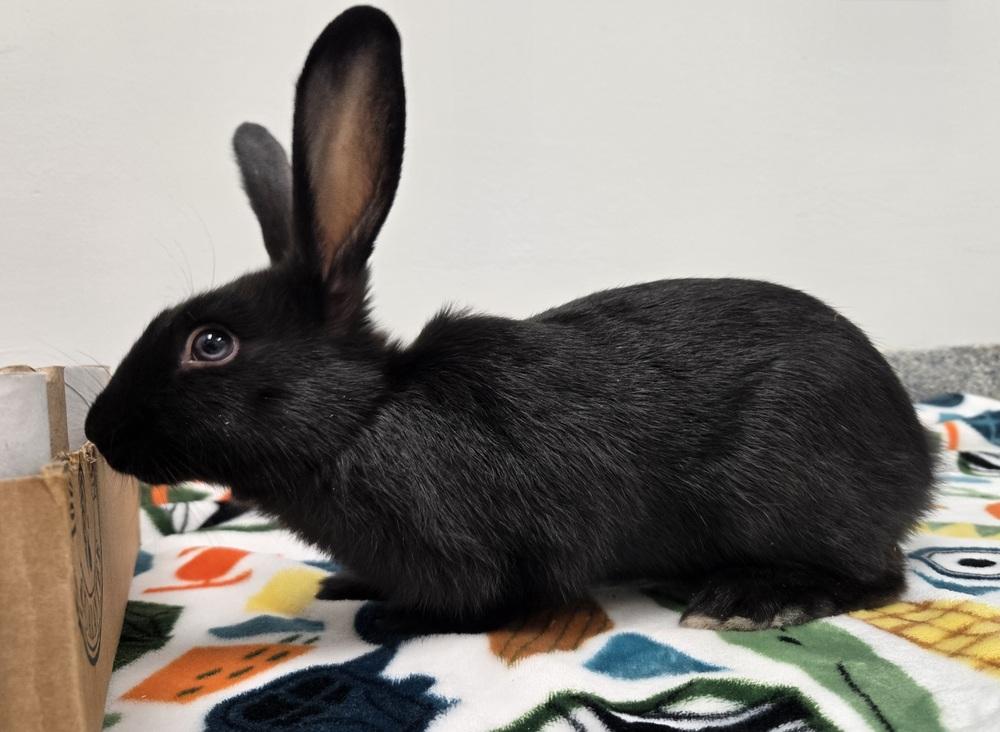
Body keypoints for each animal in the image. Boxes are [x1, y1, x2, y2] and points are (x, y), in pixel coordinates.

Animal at [85, 5, 934, 631]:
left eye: (211, 343)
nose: (98, 430)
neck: (364, 417)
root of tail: (916, 457)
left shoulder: (477, 557)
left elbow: (482, 603)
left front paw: (386, 614)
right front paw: (348, 585)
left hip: (788, 492)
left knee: (879, 574)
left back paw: (755, 598)